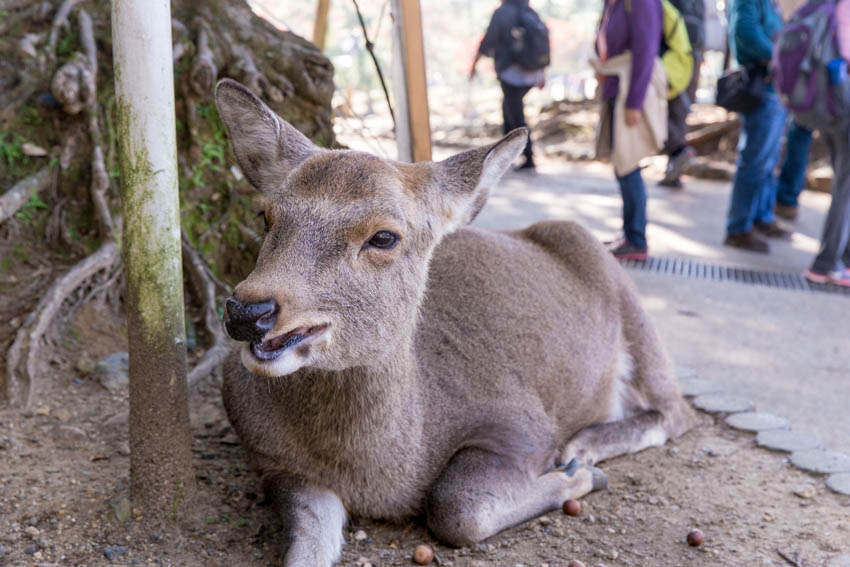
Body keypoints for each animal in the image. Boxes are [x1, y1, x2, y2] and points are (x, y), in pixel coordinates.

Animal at [212, 76, 696, 567]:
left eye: (384, 236)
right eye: (266, 215)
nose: (247, 312)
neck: (381, 469)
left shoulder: (520, 425)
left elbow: (457, 509)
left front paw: (579, 476)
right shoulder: (273, 463)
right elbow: (304, 548)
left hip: (634, 313)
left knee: (676, 409)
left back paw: (585, 448)